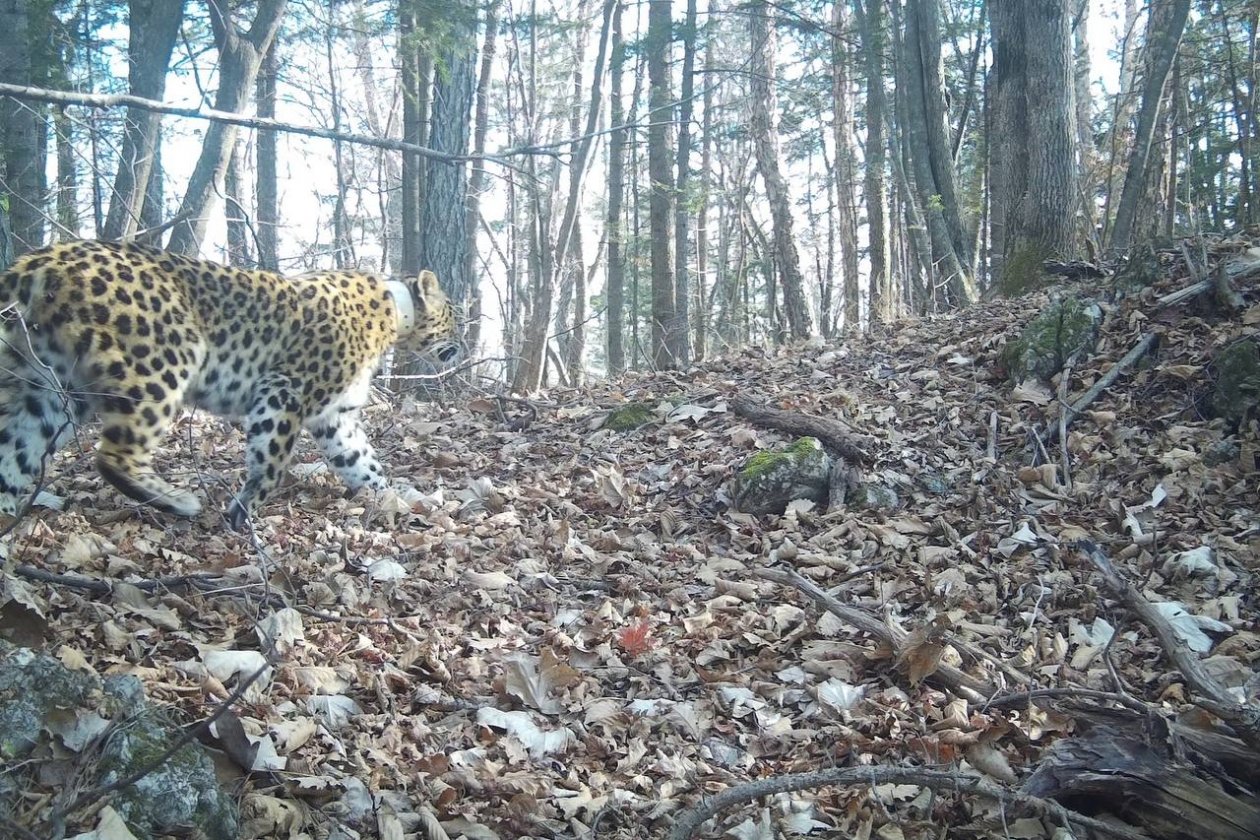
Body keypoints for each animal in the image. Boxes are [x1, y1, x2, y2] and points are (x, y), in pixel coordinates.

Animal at [0, 236, 458, 528]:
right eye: (453, 315)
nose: (462, 345)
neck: (397, 311)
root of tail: (41, 260)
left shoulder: (337, 416)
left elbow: (363, 461)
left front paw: (389, 496)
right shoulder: (284, 390)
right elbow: (272, 461)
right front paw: (245, 512)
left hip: (49, 389)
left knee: (13, 454)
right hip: (167, 358)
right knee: (114, 455)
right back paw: (179, 501)